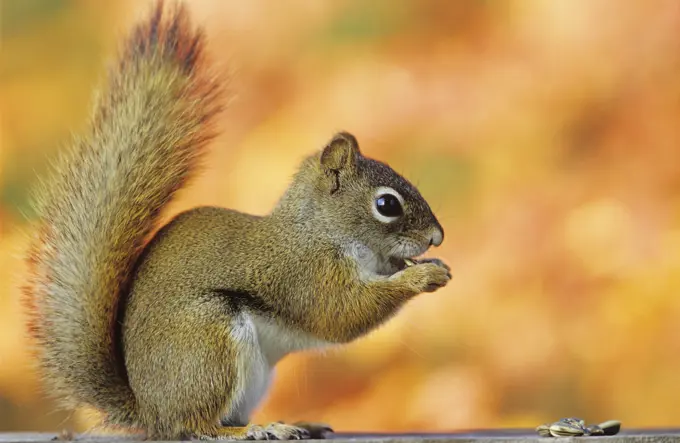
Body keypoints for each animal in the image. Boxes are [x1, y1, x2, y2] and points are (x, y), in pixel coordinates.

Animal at [21, 0, 448, 440]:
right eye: (387, 205)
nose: (437, 237)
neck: (320, 231)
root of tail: (151, 411)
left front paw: (426, 265)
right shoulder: (304, 274)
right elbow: (342, 312)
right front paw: (423, 276)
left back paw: (294, 423)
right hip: (208, 344)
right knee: (195, 426)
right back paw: (254, 430)